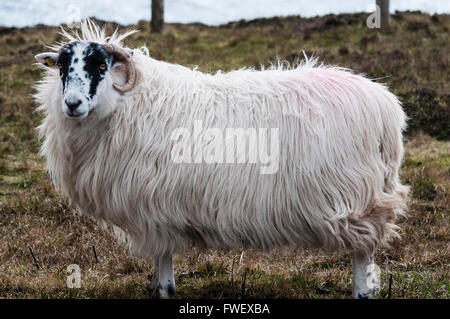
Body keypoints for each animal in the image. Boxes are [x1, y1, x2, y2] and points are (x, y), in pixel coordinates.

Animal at [34, 20, 408, 300]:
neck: (130, 104)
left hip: (356, 198)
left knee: (363, 251)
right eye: (62, 68)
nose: (72, 104)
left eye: (100, 66)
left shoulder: (153, 209)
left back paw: (362, 291)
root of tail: (385, 105)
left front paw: (164, 289)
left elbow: (162, 263)